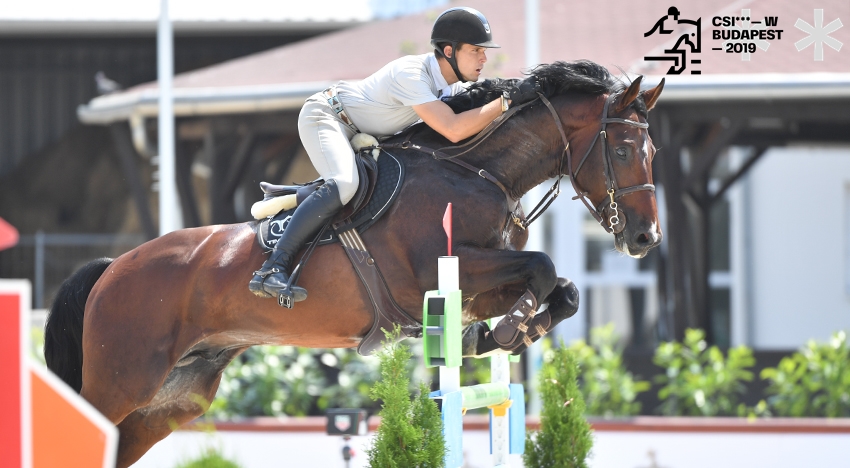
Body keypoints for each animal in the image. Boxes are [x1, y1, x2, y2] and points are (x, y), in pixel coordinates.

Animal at [44, 60, 664, 466]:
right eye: (623, 150)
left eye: (653, 150)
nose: (644, 238)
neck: (478, 170)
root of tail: (111, 269)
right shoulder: (439, 272)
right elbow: (540, 265)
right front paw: (511, 329)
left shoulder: (481, 279)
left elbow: (562, 287)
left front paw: (502, 332)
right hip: (121, 382)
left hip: (171, 399)